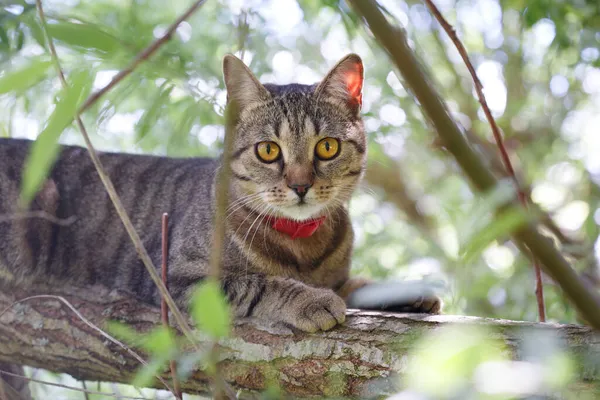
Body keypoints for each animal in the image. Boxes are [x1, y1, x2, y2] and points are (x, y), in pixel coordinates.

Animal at [0, 54, 440, 332]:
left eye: (327, 147)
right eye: (268, 151)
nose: (300, 185)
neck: (302, 247)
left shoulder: (339, 276)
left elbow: (357, 283)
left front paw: (404, 291)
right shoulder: (175, 280)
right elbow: (258, 284)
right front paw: (310, 300)